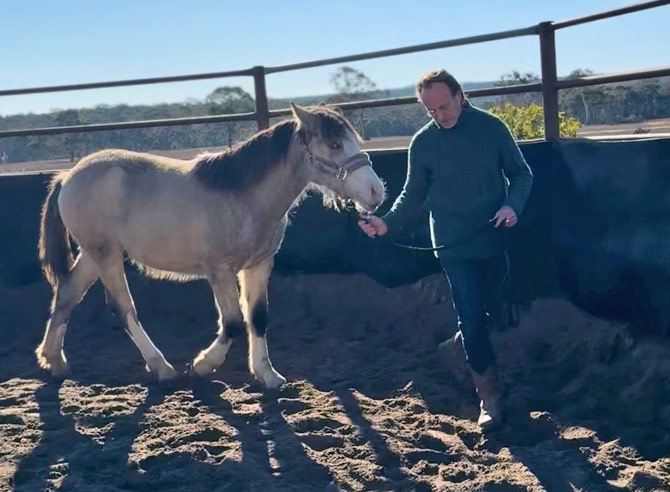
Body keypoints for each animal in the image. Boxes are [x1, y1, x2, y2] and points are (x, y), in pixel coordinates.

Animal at [36, 103, 386, 388]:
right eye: (335, 144)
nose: (375, 191)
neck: (242, 197)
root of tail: (68, 176)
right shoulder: (220, 270)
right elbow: (232, 322)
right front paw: (202, 365)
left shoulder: (259, 265)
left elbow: (258, 317)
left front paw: (267, 374)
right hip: (105, 252)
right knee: (122, 307)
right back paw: (162, 368)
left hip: (92, 254)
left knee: (67, 294)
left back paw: (55, 361)